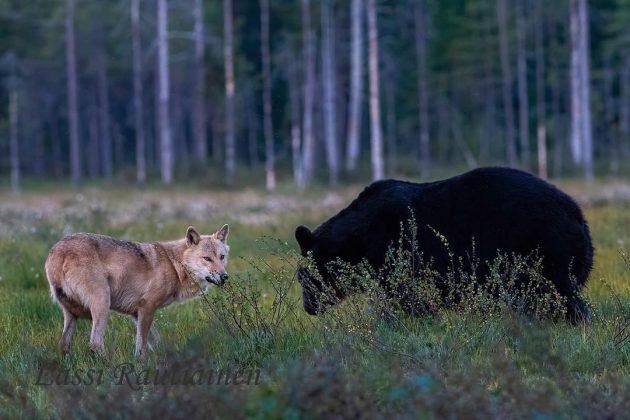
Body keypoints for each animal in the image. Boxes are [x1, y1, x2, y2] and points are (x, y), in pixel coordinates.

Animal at [294, 167, 596, 322]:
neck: (359, 239)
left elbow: (406, 294)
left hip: (544, 248)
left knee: (560, 293)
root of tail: (577, 214)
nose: (309, 307)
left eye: (302, 276)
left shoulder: (395, 245)